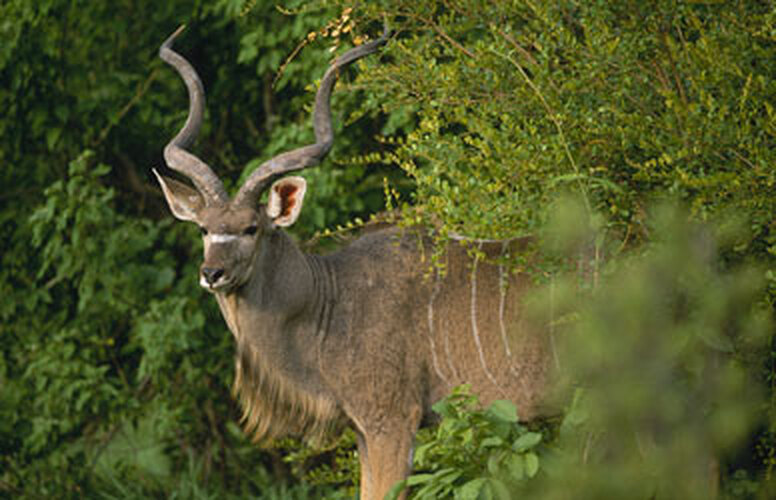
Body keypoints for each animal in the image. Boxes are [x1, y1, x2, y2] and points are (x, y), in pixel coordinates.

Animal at [154, 25, 551, 500]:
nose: (212, 273)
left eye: (251, 228)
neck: (328, 299)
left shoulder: (391, 421)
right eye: (203, 229)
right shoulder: (364, 429)